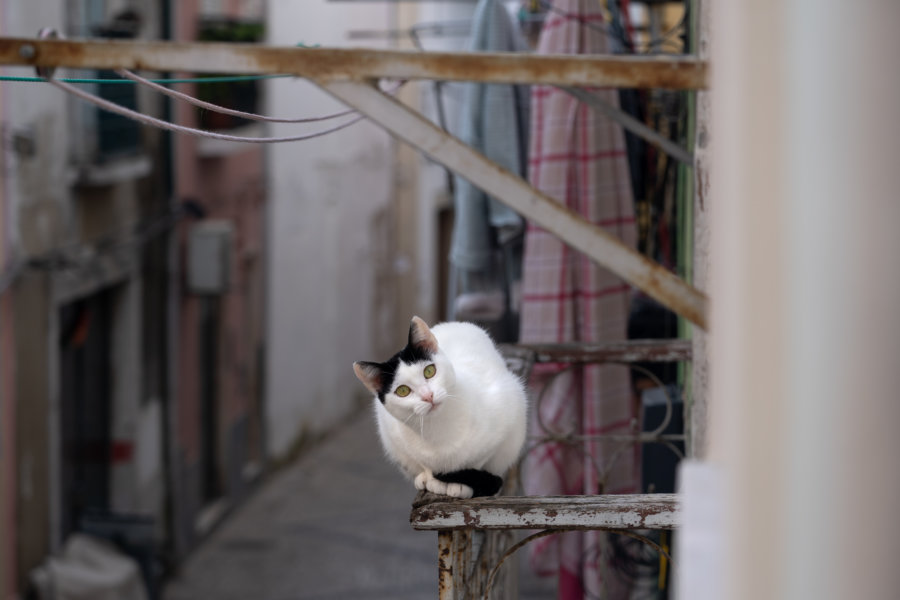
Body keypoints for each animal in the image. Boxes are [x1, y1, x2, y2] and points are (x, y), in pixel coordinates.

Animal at [352, 316, 528, 500]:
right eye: (403, 391)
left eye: (429, 371)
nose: (428, 396)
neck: (440, 427)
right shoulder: (392, 432)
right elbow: (424, 462)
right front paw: (432, 478)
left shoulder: (506, 413)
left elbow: (478, 460)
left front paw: (458, 484)